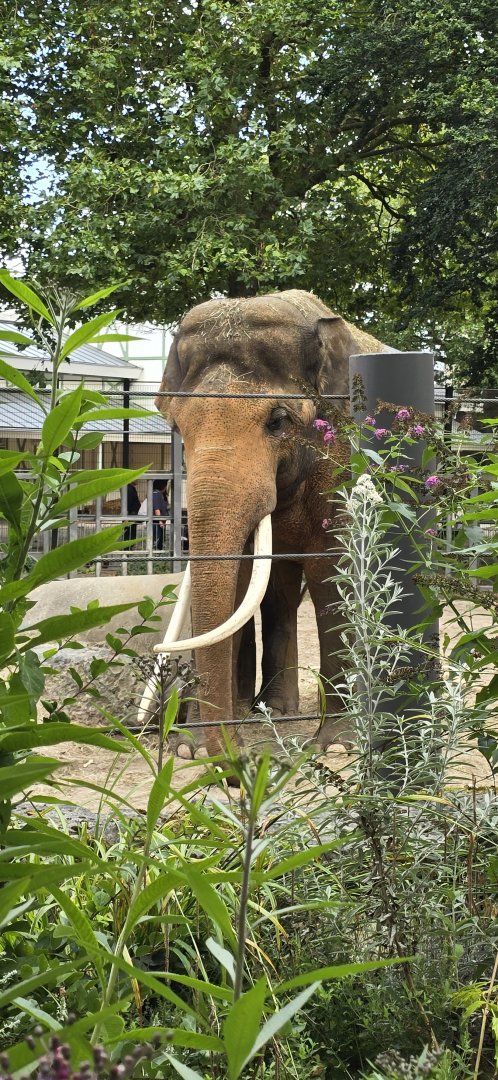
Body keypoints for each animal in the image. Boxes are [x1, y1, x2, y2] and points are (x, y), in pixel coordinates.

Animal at [156, 289, 394, 757]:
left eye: (278, 421)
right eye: (176, 425)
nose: (237, 755)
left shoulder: (342, 459)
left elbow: (332, 573)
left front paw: (336, 746)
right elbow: (237, 583)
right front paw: (194, 748)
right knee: (279, 595)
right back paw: (275, 709)